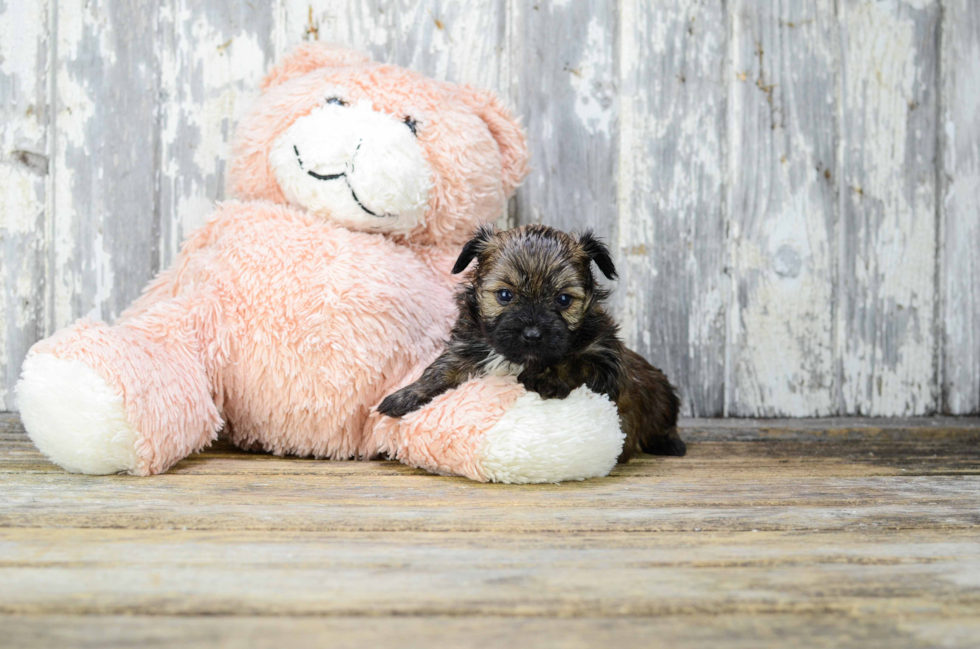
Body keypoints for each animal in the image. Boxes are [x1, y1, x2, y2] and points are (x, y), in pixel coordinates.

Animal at [378, 223, 684, 460]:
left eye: (563, 299)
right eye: (505, 295)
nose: (533, 333)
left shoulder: (606, 362)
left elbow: (573, 361)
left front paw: (545, 378)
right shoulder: (468, 348)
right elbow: (441, 369)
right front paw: (405, 396)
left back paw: (671, 443)